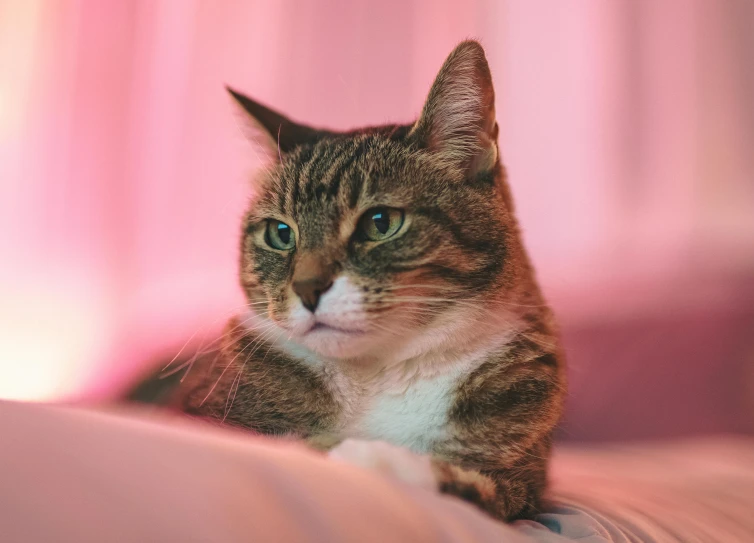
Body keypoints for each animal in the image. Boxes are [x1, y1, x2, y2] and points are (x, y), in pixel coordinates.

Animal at [151, 39, 564, 524]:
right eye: (280, 233)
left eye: (380, 222)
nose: (307, 288)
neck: (383, 374)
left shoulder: (521, 483)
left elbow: (472, 486)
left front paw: (375, 459)